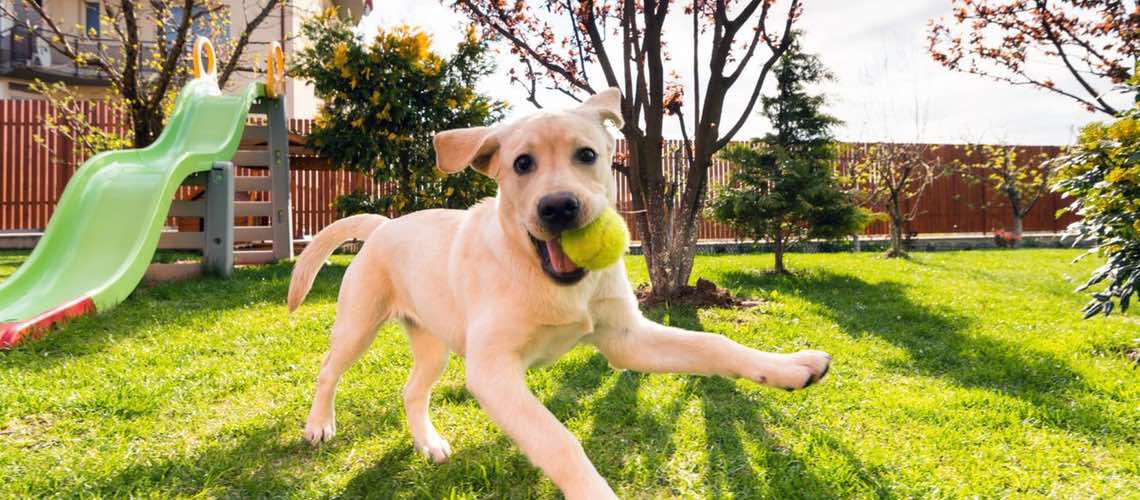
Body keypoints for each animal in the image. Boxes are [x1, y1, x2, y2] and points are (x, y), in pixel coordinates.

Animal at [289, 88, 834, 498]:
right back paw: (319, 425)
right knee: (328, 369)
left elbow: (712, 344)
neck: (544, 276)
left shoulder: (626, 339)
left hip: (433, 343)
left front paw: (790, 367)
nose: (558, 208)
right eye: (521, 164)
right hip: (359, 324)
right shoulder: (493, 371)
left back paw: (428, 443)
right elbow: (560, 442)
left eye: (587, 155)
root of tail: (384, 224)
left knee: (412, 389)